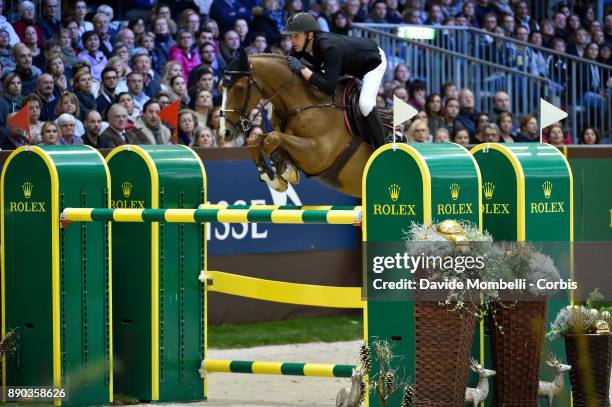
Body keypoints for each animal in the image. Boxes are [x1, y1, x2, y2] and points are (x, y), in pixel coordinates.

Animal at [219, 50, 372, 198]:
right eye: (220, 88)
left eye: (239, 88)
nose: (224, 132)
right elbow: (255, 139)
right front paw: (273, 177)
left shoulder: (317, 153)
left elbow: (273, 138)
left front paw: (286, 170)